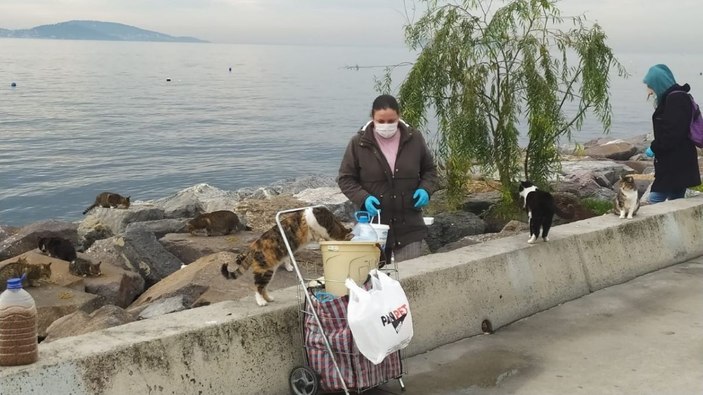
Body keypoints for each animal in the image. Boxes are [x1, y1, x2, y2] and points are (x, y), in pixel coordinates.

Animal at [220, 206, 352, 308]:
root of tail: (253, 248)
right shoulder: (314, 216)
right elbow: (316, 226)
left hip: (269, 271)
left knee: (264, 287)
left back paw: (268, 298)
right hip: (264, 270)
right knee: (258, 288)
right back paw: (261, 301)